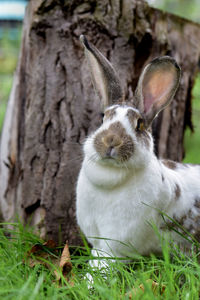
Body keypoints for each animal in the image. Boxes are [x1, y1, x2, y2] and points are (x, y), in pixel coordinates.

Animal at [76, 34, 200, 266]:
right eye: (103, 118)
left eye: (139, 124)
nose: (111, 140)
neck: (110, 176)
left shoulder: (115, 244)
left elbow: (105, 263)